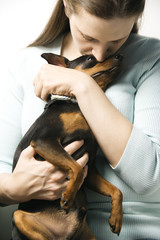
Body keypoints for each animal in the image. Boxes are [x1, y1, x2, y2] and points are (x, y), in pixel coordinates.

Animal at [11, 53, 123, 240]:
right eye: (90, 59)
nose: (120, 55)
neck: (76, 105)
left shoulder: (90, 172)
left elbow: (117, 191)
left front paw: (116, 218)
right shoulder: (44, 140)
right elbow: (76, 167)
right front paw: (69, 196)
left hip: (87, 235)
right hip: (18, 216)